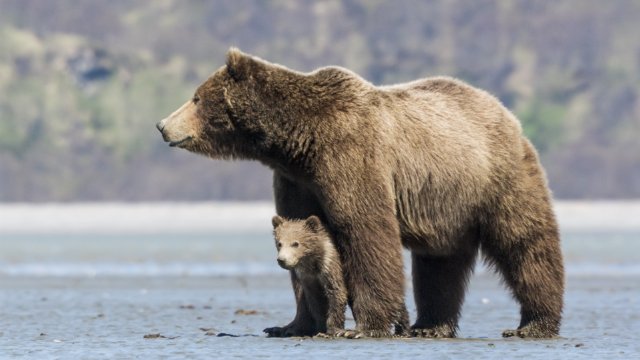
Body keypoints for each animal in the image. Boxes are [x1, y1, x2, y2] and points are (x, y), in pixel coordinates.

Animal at [156, 49, 564, 338]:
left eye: (196, 97)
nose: (162, 125)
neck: (298, 141)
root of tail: (504, 111)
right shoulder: (297, 179)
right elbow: (300, 232)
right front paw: (289, 325)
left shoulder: (351, 157)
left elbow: (365, 232)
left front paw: (362, 326)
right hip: (445, 203)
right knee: (439, 262)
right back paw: (430, 325)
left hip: (496, 178)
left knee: (525, 243)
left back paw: (534, 324)